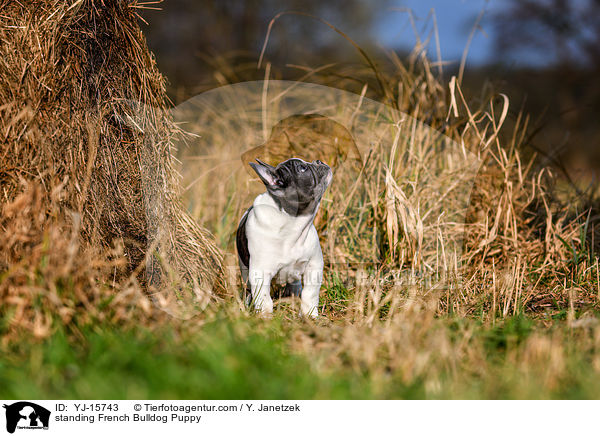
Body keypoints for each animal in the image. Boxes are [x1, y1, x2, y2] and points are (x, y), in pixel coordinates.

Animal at [237, 157, 332, 316]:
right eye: (302, 169)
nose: (318, 161)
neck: (293, 223)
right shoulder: (260, 272)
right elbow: (264, 298)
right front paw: (265, 316)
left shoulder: (314, 265)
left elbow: (310, 293)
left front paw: (309, 315)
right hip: (244, 268)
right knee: (248, 288)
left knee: (294, 282)